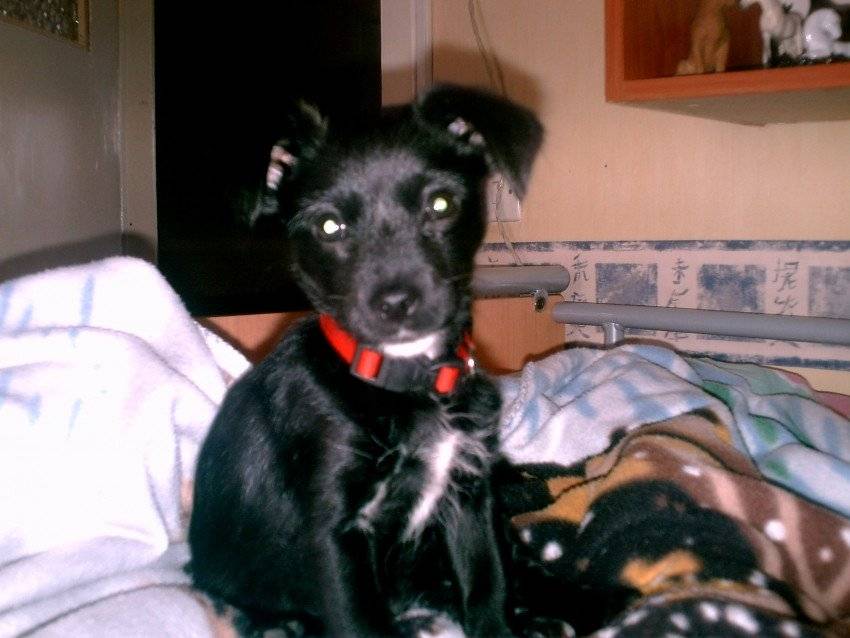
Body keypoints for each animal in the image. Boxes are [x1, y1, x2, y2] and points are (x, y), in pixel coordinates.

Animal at [188, 84, 543, 637]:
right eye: (329, 226)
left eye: (440, 204)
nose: (396, 303)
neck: (405, 378)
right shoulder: (334, 532)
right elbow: (362, 623)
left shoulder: (470, 493)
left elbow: (488, 586)